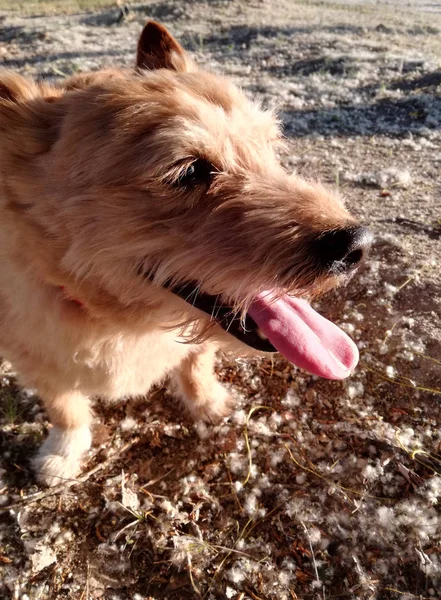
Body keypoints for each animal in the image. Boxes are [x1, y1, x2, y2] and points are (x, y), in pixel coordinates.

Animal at [0, 21, 372, 486]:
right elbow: (65, 406)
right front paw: (63, 454)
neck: (119, 322)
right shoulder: (33, 359)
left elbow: (197, 364)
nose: (358, 244)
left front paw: (209, 403)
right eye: (189, 171)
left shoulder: (197, 345)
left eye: (270, 148)